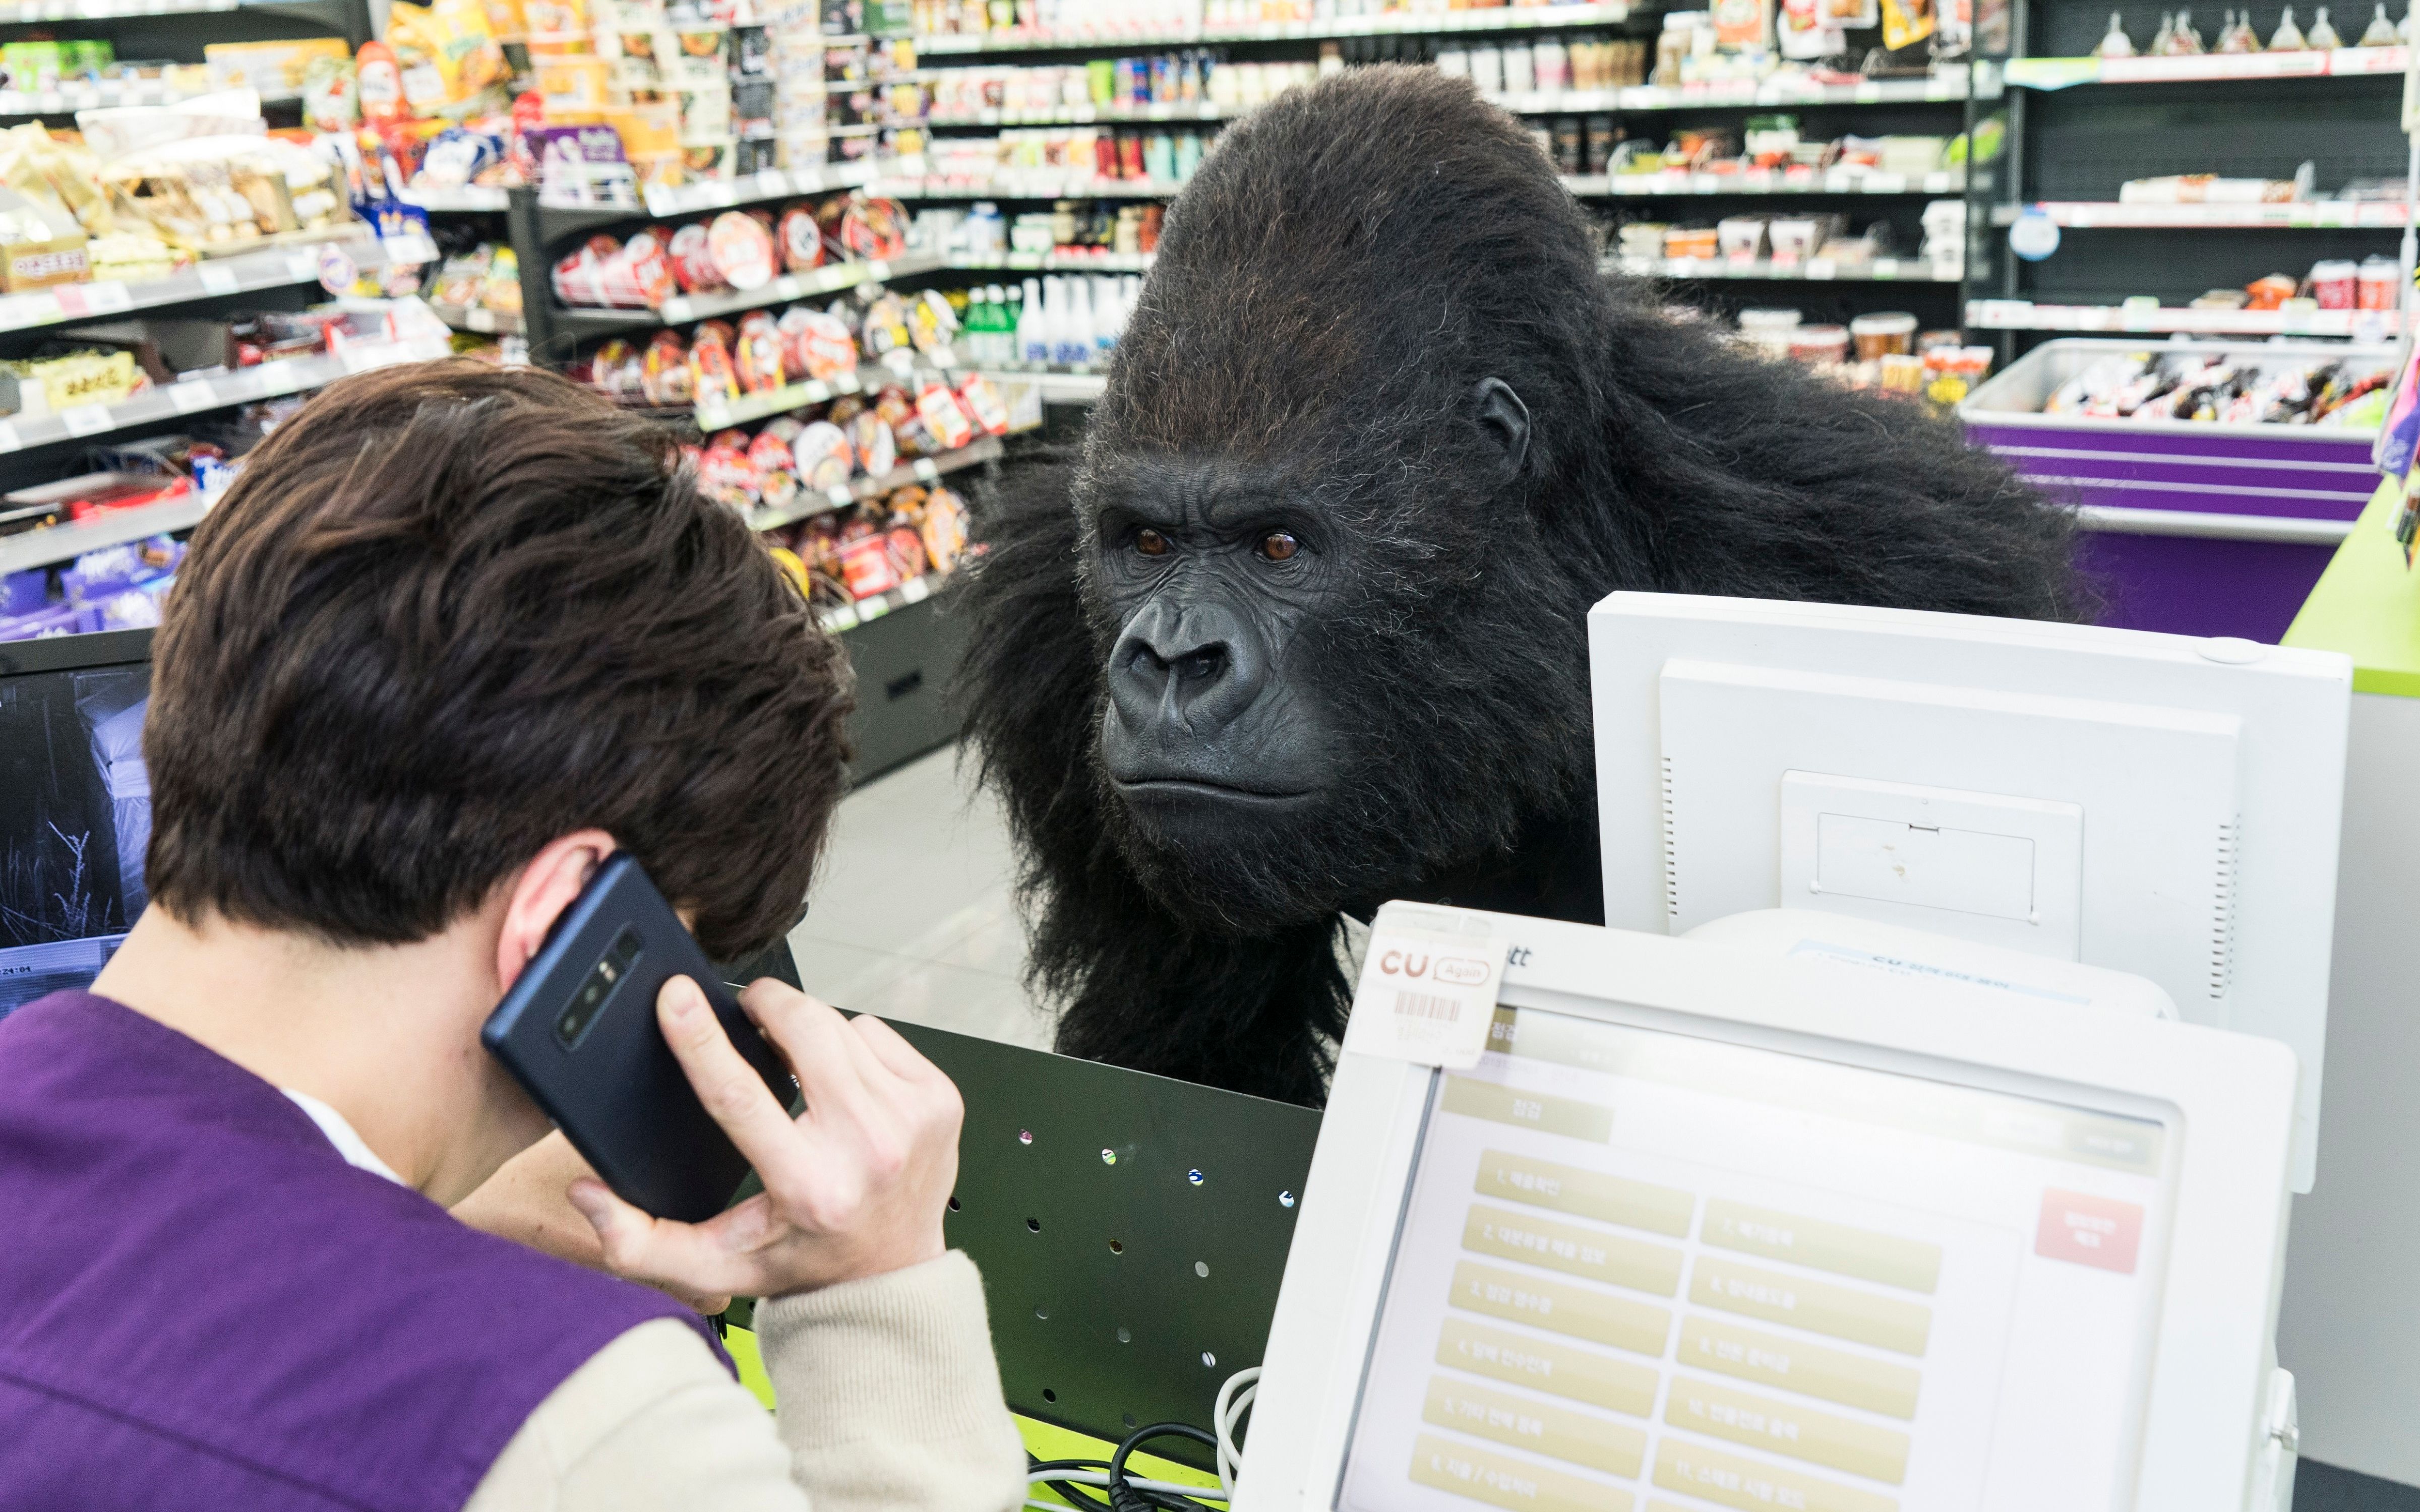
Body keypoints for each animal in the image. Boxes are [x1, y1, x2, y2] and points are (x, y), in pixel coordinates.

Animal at [953, 65, 2091, 1103]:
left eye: (1278, 547)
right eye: (1145, 543)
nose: (1171, 660)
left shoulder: (1888, 553)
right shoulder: (1046, 633)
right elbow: (1188, 1062)